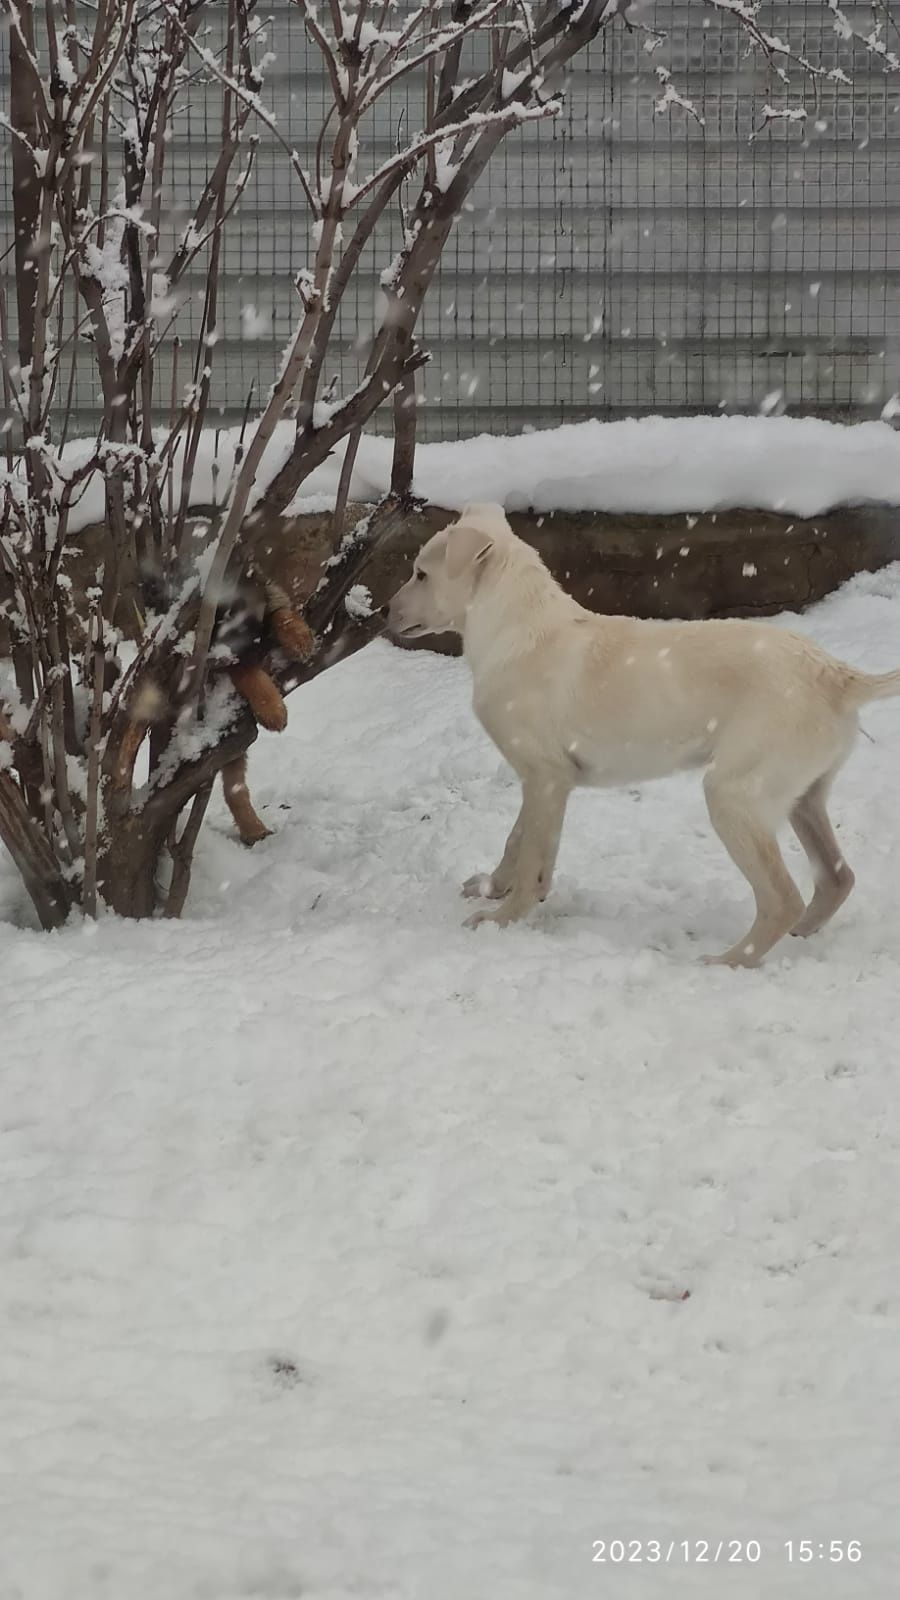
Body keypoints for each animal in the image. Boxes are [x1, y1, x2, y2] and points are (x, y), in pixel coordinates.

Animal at [389, 505, 896, 966]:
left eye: (420, 574)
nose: (386, 611)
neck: (517, 628)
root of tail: (834, 674)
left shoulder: (546, 777)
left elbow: (531, 854)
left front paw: (502, 920)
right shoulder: (545, 782)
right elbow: (519, 842)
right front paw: (496, 889)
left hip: (735, 795)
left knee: (782, 898)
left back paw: (727, 962)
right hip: (803, 794)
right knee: (837, 878)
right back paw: (800, 936)